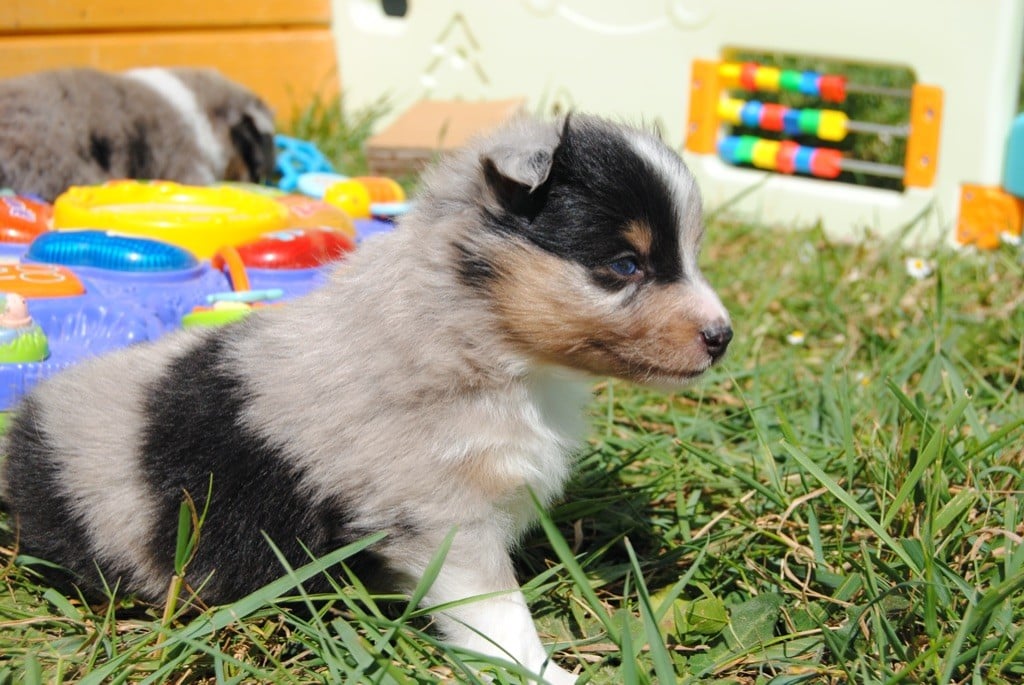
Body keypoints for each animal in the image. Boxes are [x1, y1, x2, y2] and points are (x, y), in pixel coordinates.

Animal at [2, 112, 737, 679]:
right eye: (624, 265)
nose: (722, 336)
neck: (477, 334)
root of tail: (26, 425)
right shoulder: (438, 512)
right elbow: (498, 612)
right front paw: (543, 671)